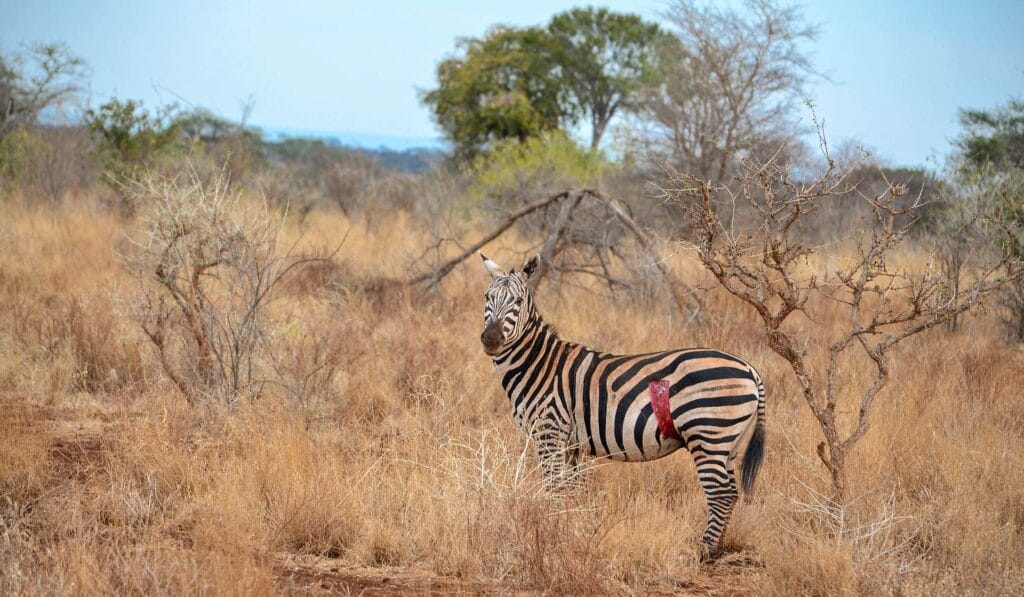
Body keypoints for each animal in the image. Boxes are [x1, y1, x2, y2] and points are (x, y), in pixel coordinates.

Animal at [478, 252, 765, 557]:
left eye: (518, 301)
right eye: (487, 296)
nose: (491, 339)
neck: (538, 365)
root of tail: (749, 368)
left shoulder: (549, 431)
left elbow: (554, 488)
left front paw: (549, 532)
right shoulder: (570, 443)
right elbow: (573, 490)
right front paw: (571, 529)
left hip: (708, 433)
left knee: (720, 494)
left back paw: (704, 551)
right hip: (728, 441)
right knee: (731, 493)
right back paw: (717, 547)